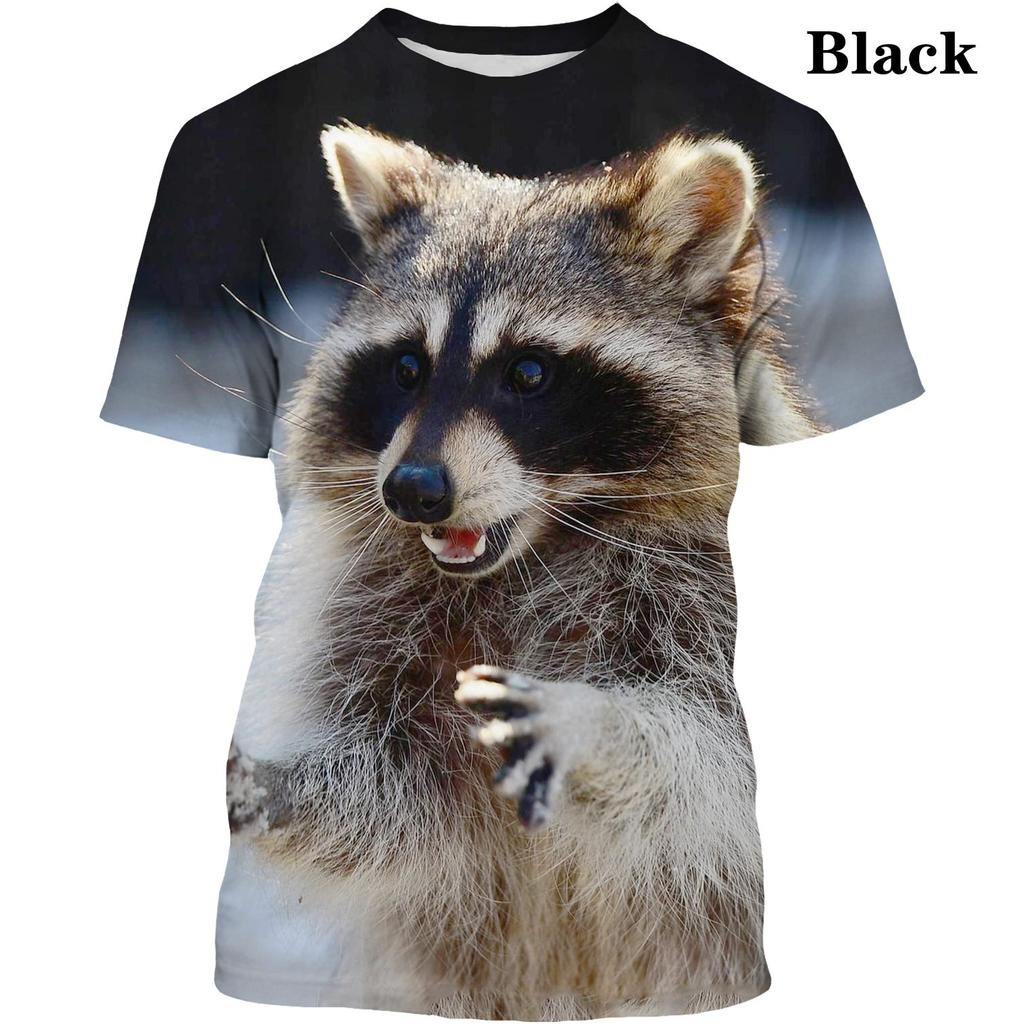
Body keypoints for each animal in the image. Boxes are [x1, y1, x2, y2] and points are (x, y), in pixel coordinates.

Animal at [227, 122, 815, 1018]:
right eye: (406, 368)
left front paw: (595, 726)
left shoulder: (690, 600)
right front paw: (294, 792)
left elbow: (701, 761)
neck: (537, 549)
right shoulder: (373, 620)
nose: (414, 490)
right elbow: (399, 802)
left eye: (529, 373)